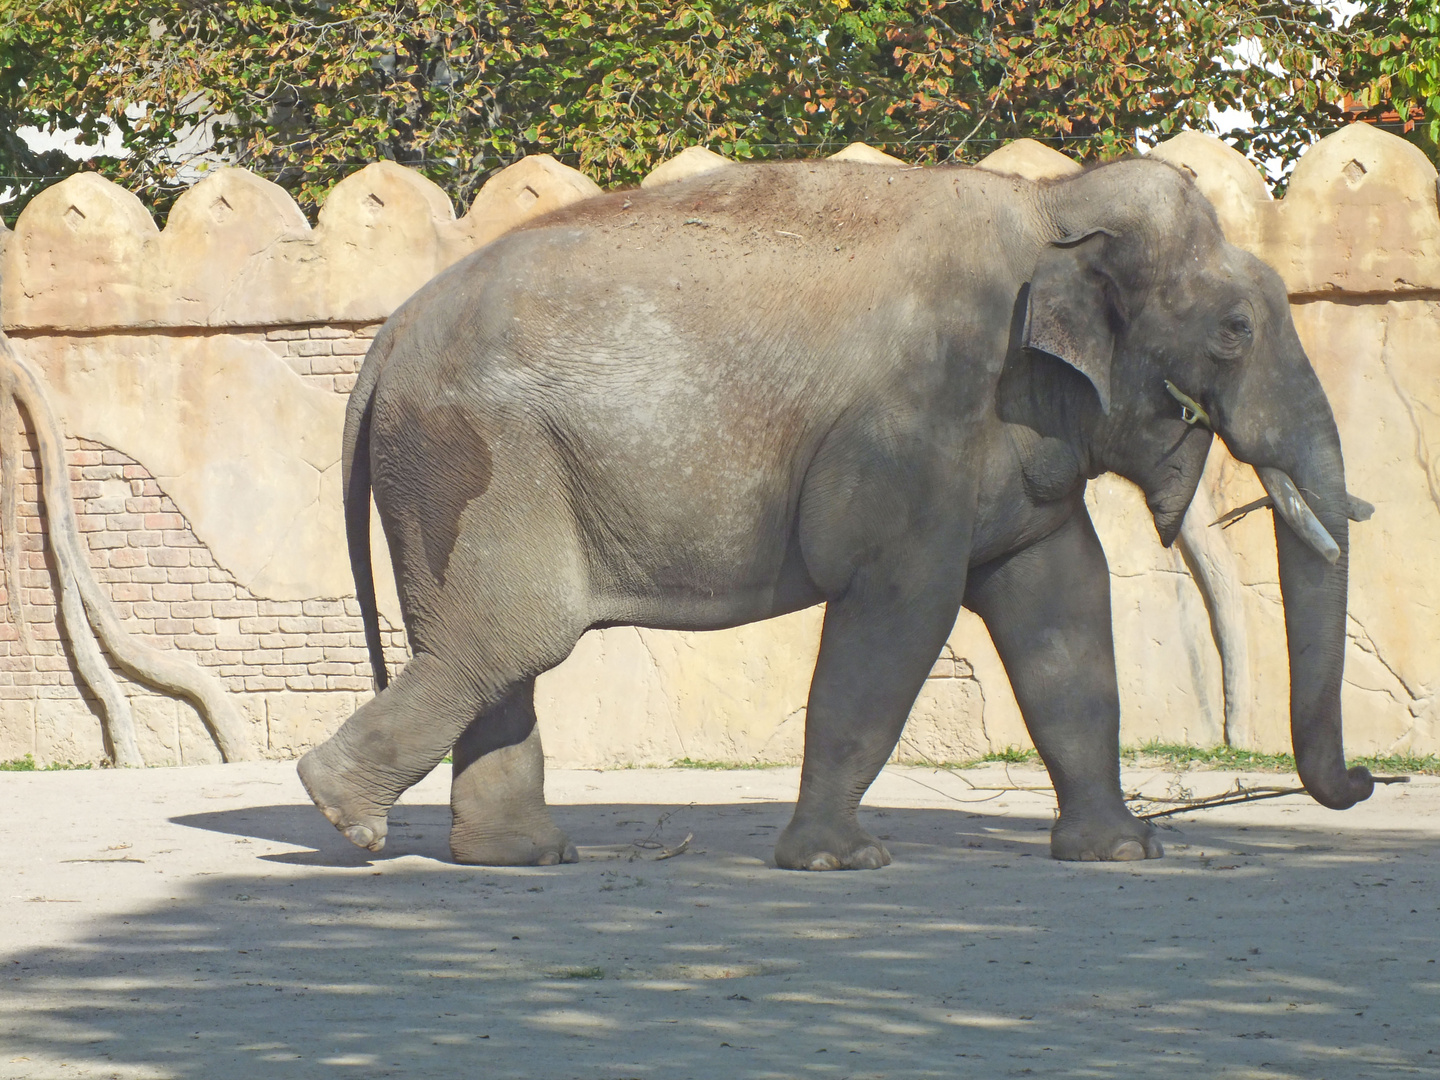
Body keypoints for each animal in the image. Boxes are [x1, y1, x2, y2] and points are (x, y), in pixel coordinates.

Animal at [295, 154, 1370, 869]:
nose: (1364, 785)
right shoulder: (915, 427)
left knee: (497, 652)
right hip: (472, 463)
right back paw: (344, 814)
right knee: (503, 641)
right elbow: (900, 612)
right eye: (1235, 330)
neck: (1051, 202)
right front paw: (836, 863)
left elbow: (1062, 606)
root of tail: (385, 336)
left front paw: (1118, 853)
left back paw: (516, 858)